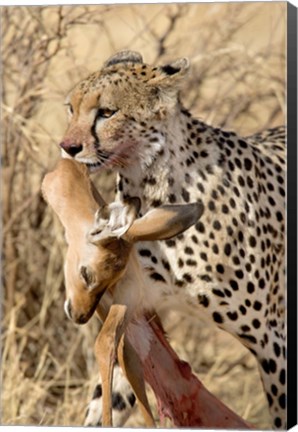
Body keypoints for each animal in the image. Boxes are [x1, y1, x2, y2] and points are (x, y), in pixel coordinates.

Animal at [60, 50, 286, 428]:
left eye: (106, 112)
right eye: (70, 108)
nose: (67, 147)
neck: (150, 185)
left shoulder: (274, 335)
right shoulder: (137, 313)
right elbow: (108, 397)